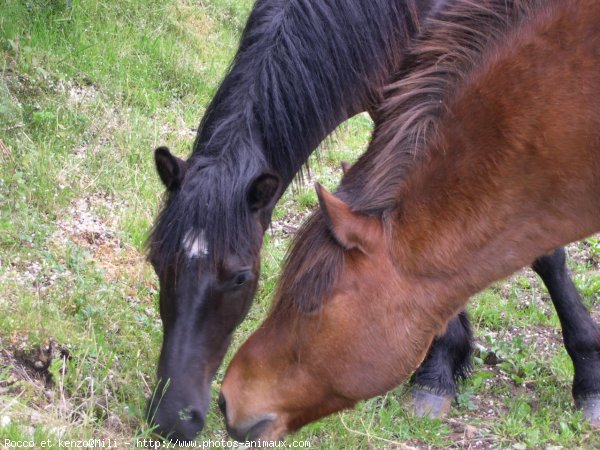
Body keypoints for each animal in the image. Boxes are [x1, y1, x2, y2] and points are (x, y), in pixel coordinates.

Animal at [146, 0, 600, 440]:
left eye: (240, 277)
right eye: (156, 262)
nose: (172, 418)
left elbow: (545, 253)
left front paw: (589, 373)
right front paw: (438, 369)